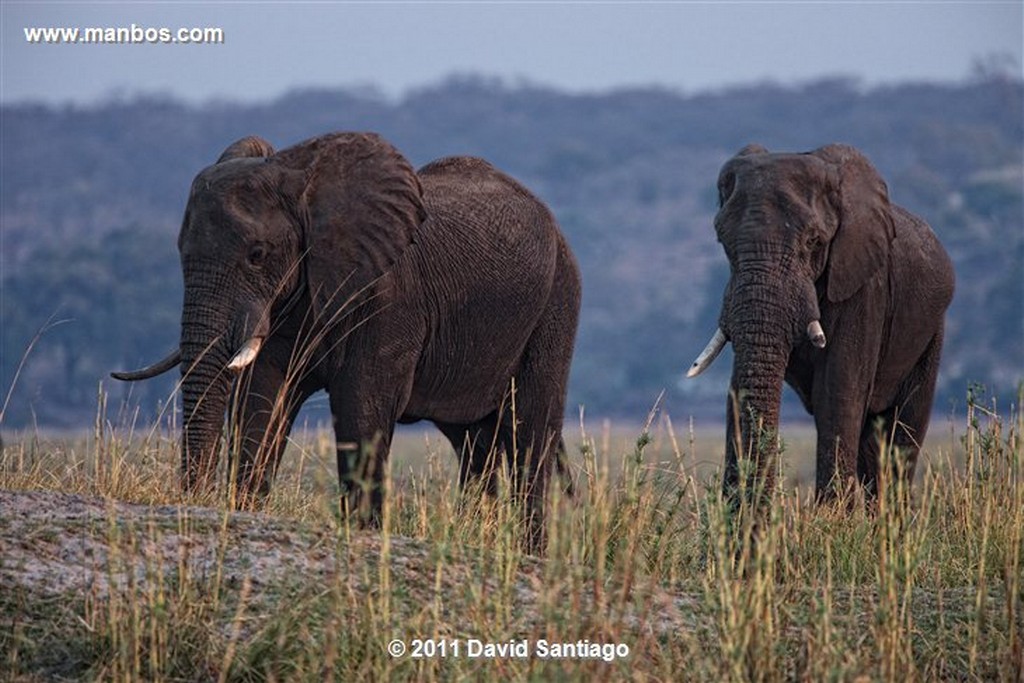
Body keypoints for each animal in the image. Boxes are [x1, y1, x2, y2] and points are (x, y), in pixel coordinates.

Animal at [113, 132, 581, 548]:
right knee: (474, 442)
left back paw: (530, 553)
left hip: (558, 302)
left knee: (529, 433)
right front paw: (245, 509)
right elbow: (261, 397)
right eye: (179, 251)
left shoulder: (388, 298)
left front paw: (363, 532)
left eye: (257, 255)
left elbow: (361, 406)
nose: (196, 499)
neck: (301, 184)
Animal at [684, 143, 954, 507]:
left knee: (902, 432)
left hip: (931, 332)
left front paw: (832, 517)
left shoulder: (864, 287)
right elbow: (739, 387)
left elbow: (837, 388)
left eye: (813, 241)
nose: (753, 511)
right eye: (724, 243)